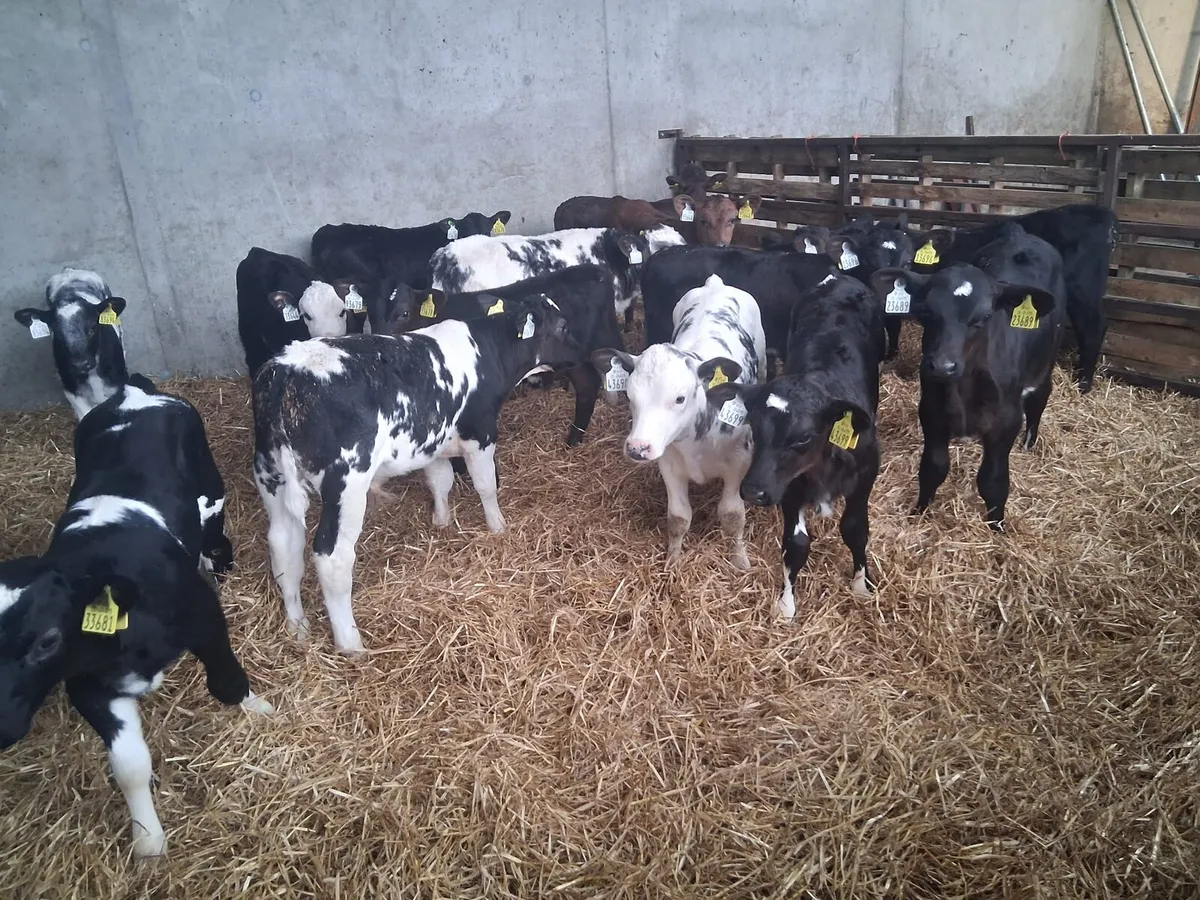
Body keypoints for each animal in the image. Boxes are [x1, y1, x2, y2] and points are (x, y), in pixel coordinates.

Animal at [0, 383, 270, 859]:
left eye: (47, 640)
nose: (0, 728)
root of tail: (135, 389)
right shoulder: (88, 684)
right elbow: (129, 767)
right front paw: (148, 839)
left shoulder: (203, 615)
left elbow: (227, 681)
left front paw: (259, 708)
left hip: (211, 494)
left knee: (214, 537)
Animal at [252, 295, 582, 654]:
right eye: (563, 326)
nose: (583, 351)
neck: (488, 351)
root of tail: (287, 370)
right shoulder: (480, 433)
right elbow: (485, 485)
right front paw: (498, 526)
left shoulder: (432, 443)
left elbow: (440, 481)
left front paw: (442, 520)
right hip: (346, 483)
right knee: (332, 557)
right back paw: (350, 643)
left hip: (270, 475)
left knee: (283, 546)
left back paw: (297, 626)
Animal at [590, 274, 766, 569]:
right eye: (630, 395)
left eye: (680, 398)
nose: (638, 448)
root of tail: (716, 284)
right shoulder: (669, 464)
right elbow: (678, 517)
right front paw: (673, 559)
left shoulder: (739, 462)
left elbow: (732, 516)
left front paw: (739, 558)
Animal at [706, 273, 883, 618]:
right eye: (754, 426)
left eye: (803, 437)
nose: (753, 491)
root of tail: (839, 278)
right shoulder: (788, 486)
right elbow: (796, 544)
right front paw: (786, 604)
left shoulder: (868, 469)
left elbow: (855, 529)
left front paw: (862, 585)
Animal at [872, 225, 1064, 529]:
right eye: (925, 311)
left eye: (983, 317)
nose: (942, 366)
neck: (963, 389)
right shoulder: (931, 413)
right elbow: (932, 468)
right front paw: (920, 512)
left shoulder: (1006, 421)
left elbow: (993, 480)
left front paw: (997, 526)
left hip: (1045, 362)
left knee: (1039, 398)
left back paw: (1029, 443)